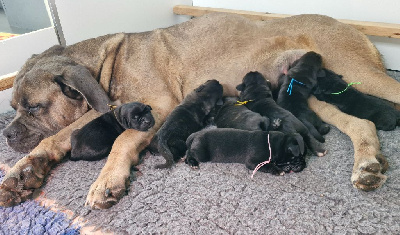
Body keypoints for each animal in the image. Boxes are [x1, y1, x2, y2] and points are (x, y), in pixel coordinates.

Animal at [1, 12, 398, 208]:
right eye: (14, 107)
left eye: (35, 108)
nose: (7, 134)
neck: (105, 66)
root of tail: (350, 27)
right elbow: (57, 137)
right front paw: (23, 172)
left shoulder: (153, 107)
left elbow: (122, 140)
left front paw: (107, 179)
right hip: (309, 91)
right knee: (360, 123)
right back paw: (367, 164)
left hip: (357, 73)